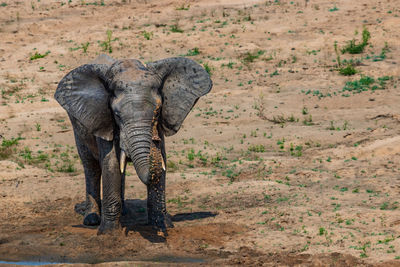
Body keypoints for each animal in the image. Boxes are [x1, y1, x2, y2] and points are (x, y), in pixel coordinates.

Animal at [54, 54, 214, 234]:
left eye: (157, 112)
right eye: (117, 115)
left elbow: (161, 161)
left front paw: (163, 225)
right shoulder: (104, 120)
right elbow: (111, 163)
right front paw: (109, 233)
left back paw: (123, 211)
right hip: (78, 127)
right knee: (91, 167)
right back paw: (91, 219)